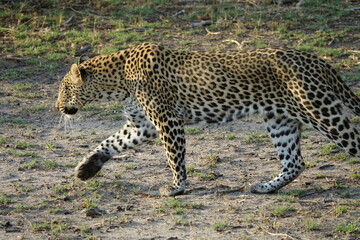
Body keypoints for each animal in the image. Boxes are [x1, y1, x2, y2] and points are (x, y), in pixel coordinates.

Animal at [55, 42, 360, 197]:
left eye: (64, 88)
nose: (57, 106)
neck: (117, 80)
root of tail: (316, 59)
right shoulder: (141, 125)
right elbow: (112, 142)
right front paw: (86, 168)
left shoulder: (167, 121)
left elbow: (174, 157)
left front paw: (177, 188)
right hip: (280, 120)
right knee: (294, 163)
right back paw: (264, 187)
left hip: (322, 112)